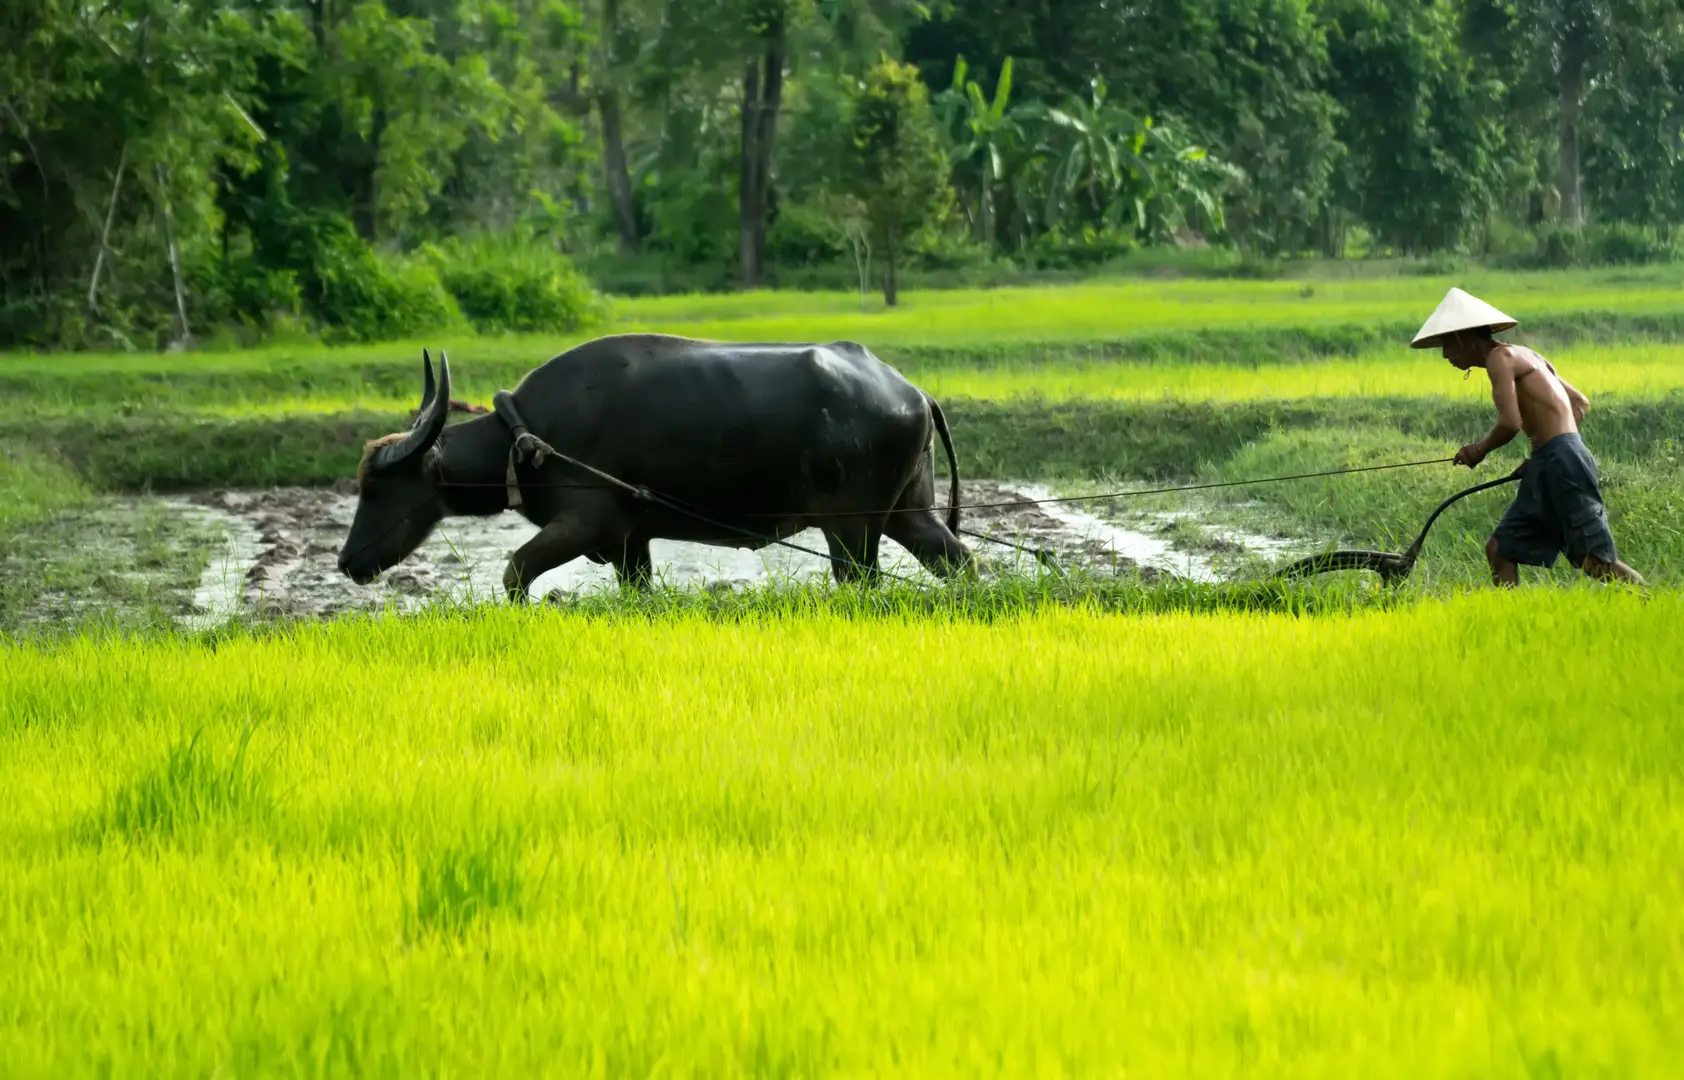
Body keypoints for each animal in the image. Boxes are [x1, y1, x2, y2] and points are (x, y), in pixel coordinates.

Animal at [336, 333, 973, 600]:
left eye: (379, 488)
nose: (346, 562)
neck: (526, 438)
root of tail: (912, 392)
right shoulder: (629, 542)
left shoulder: (588, 525)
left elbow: (515, 571)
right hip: (908, 512)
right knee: (958, 560)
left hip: (852, 528)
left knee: (864, 581)